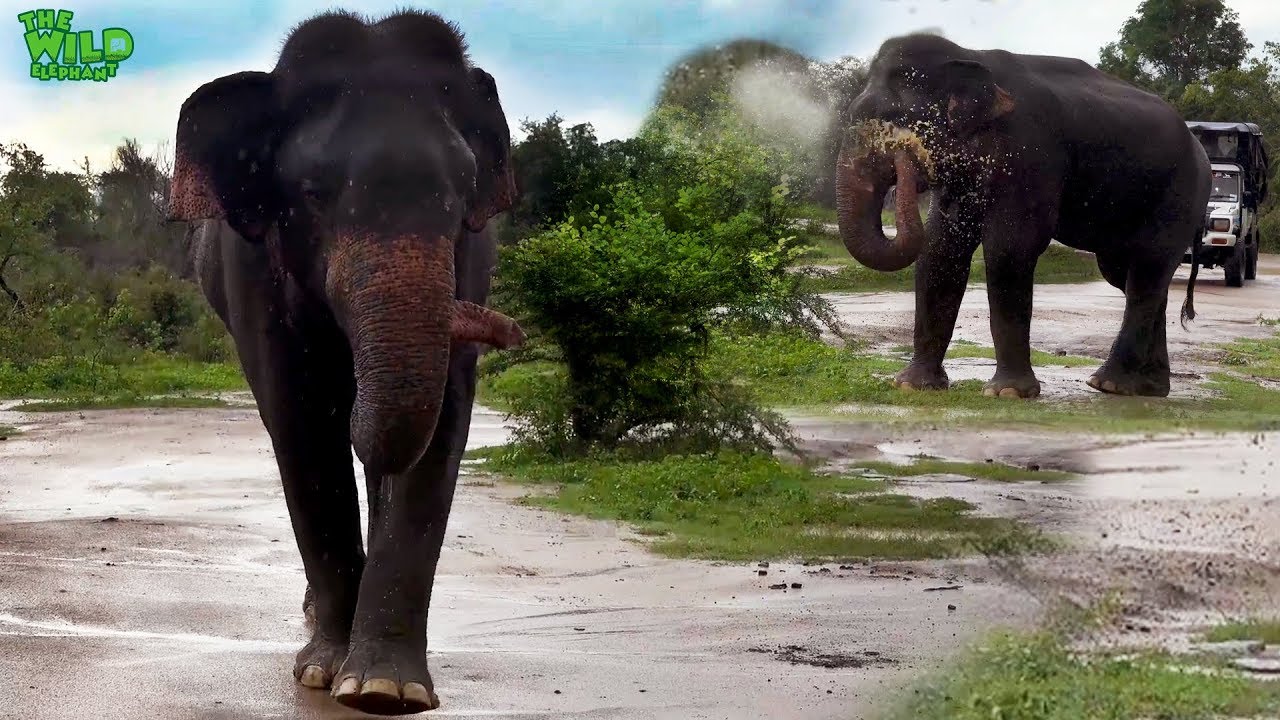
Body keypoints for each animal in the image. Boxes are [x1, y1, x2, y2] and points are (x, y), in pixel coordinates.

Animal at [166, 9, 522, 715]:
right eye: (311, 192)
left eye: (462, 192)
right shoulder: (254, 272)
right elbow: (301, 423)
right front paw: (323, 672)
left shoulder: (468, 259)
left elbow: (443, 422)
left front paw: (387, 689)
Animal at [835, 33, 1211, 398]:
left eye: (888, 121)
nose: (904, 168)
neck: (969, 55)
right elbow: (942, 249)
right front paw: (912, 385)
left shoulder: (1030, 155)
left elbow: (1009, 249)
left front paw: (1008, 392)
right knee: (1132, 277)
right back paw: (1149, 388)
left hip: (1180, 196)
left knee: (1146, 272)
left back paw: (1109, 384)